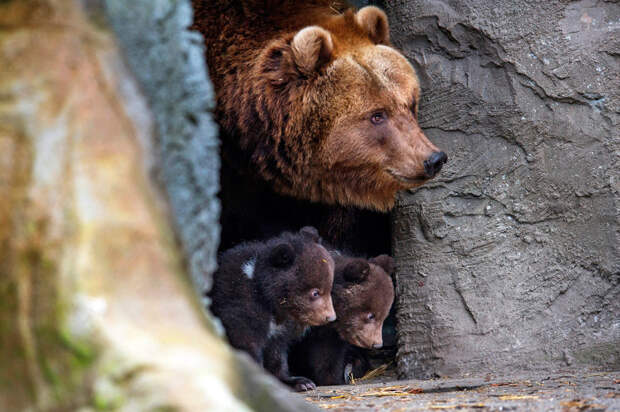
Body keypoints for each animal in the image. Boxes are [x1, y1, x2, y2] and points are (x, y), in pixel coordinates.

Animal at [207, 227, 334, 392]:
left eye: (329, 288)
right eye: (315, 292)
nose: (330, 317)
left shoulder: (280, 327)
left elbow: (276, 352)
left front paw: (300, 382)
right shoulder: (240, 301)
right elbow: (245, 340)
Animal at [288, 253, 394, 384]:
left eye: (384, 316)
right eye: (371, 315)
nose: (377, 344)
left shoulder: (327, 333)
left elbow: (327, 354)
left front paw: (331, 379)